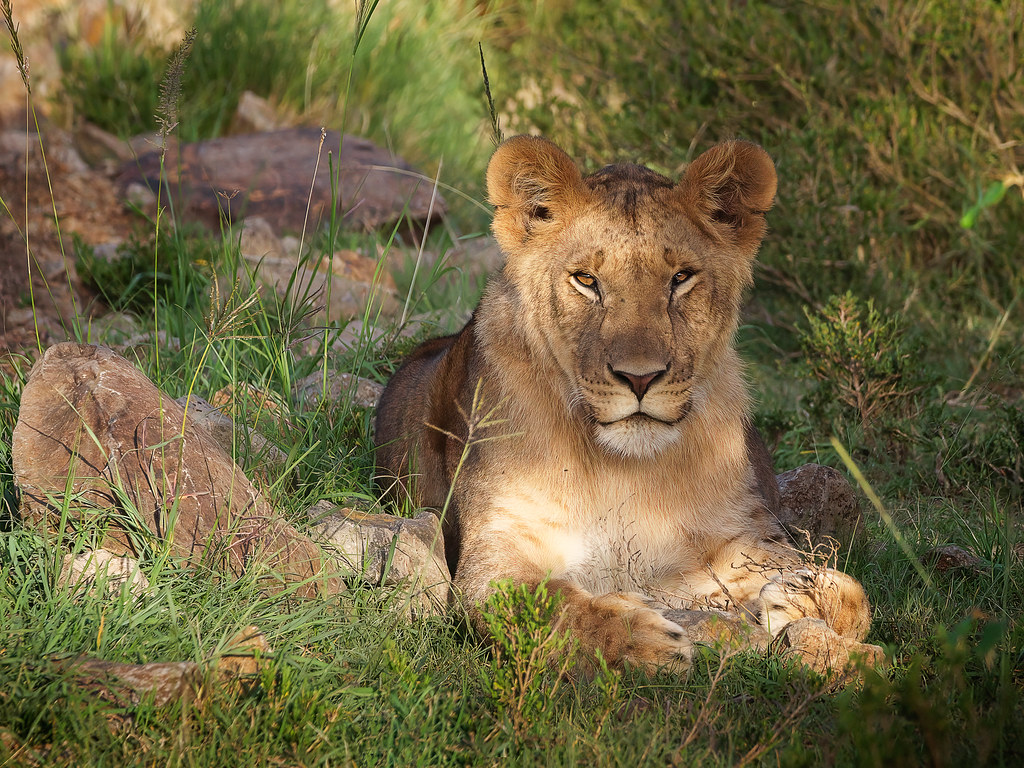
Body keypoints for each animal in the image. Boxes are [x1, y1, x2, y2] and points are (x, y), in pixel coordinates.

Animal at [376, 135, 872, 671]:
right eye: (586, 280)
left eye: (681, 278)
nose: (640, 377)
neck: (624, 472)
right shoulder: (495, 556)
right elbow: (548, 604)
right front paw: (646, 644)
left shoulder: (739, 538)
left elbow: (855, 594)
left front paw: (805, 595)